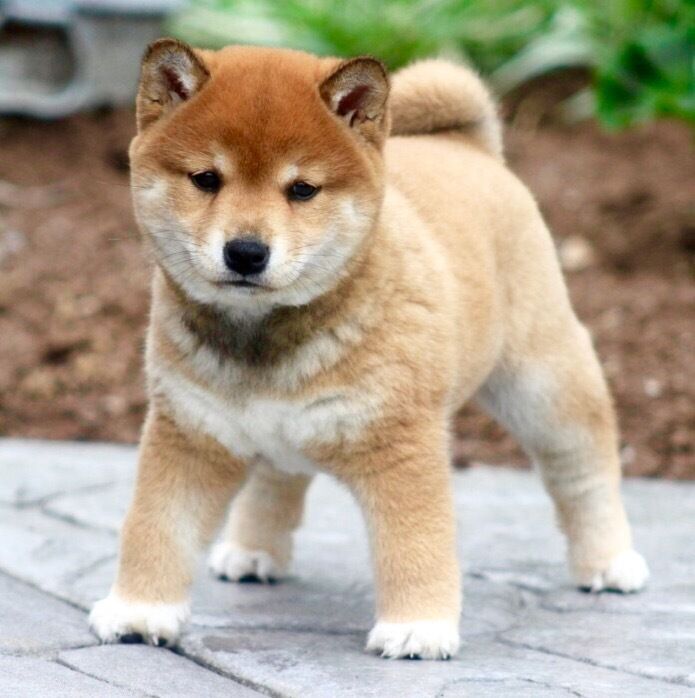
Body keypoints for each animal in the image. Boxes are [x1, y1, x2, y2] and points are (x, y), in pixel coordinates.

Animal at [89, 38, 648, 656]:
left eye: (302, 189)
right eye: (206, 179)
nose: (246, 252)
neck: (267, 336)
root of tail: (469, 148)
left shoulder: (400, 444)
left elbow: (415, 543)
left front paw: (417, 627)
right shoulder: (188, 433)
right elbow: (155, 528)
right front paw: (140, 610)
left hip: (545, 388)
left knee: (584, 472)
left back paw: (610, 562)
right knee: (278, 477)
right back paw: (254, 552)